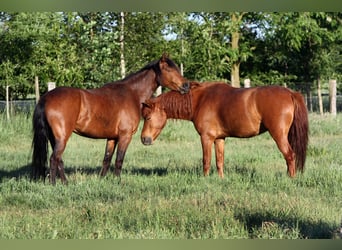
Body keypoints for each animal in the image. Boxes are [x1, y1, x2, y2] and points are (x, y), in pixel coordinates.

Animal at [31, 54, 190, 184]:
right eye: (168, 69)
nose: (186, 85)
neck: (132, 94)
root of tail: (46, 98)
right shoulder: (125, 136)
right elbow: (119, 159)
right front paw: (118, 181)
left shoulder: (112, 138)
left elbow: (107, 159)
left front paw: (102, 180)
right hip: (62, 137)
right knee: (54, 159)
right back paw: (53, 184)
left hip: (54, 138)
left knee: (59, 160)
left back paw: (66, 183)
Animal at [140, 81, 308, 178]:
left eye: (147, 117)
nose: (144, 139)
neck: (200, 100)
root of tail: (290, 93)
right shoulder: (219, 139)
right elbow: (219, 161)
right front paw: (221, 179)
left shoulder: (206, 138)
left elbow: (206, 161)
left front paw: (205, 180)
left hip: (279, 135)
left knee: (290, 155)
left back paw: (290, 178)